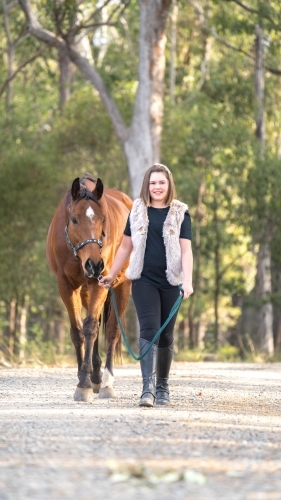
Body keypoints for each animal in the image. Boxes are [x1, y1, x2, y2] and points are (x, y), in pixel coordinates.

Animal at [46, 174, 132, 400]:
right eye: (74, 219)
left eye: (102, 220)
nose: (95, 264)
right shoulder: (66, 285)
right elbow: (78, 330)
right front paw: (84, 377)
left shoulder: (99, 282)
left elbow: (91, 327)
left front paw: (84, 382)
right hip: (85, 290)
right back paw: (96, 374)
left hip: (122, 286)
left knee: (112, 331)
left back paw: (107, 381)